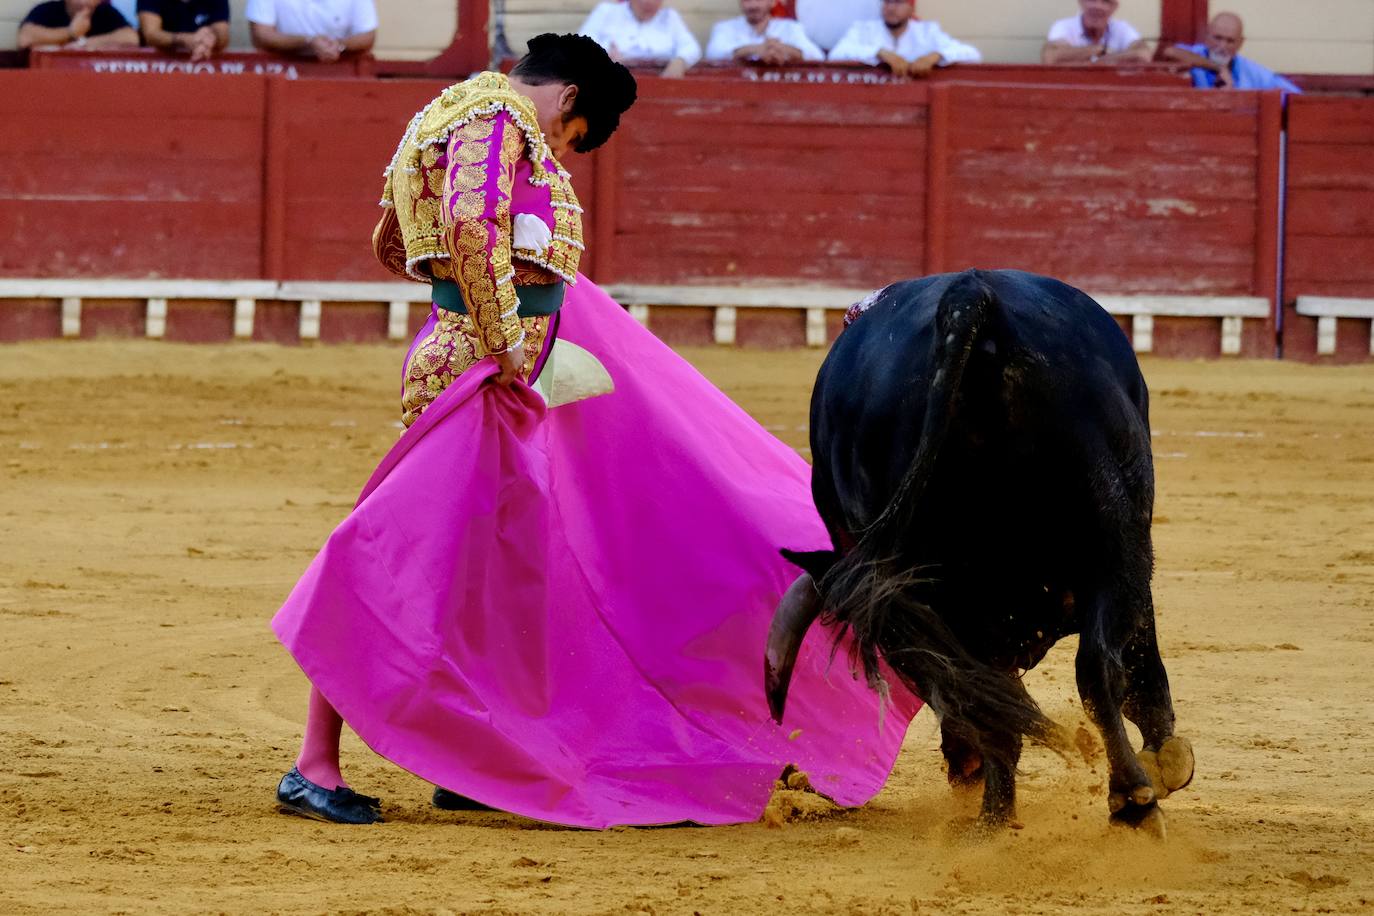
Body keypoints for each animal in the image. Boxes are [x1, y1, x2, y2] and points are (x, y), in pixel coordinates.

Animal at [769, 269, 1198, 834]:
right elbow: (1140, 657)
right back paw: (1128, 798)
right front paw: (1166, 760)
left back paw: (1001, 816)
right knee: (1091, 669)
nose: (961, 772)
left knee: (993, 692)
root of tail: (968, 299)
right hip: (1114, 534)